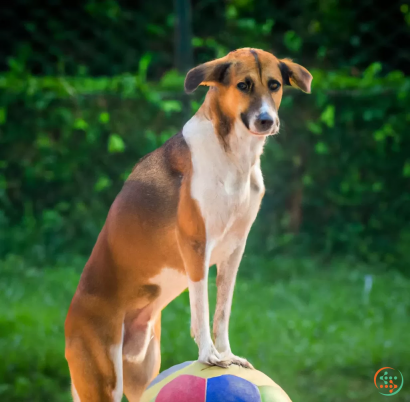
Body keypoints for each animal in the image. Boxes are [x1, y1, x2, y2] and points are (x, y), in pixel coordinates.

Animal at [65, 48, 312, 402]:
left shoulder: (234, 251)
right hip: (103, 381)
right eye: (243, 85)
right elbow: (202, 310)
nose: (266, 121)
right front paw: (209, 355)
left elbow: (222, 312)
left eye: (275, 84)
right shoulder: (196, 246)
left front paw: (227, 354)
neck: (232, 155)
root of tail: (70, 319)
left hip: (142, 371)